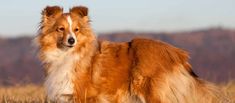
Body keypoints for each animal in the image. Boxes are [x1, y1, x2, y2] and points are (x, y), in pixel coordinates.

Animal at [36, 5, 231, 103]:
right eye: (60, 29)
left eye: (76, 30)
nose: (72, 41)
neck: (67, 55)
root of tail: (177, 54)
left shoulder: (87, 96)